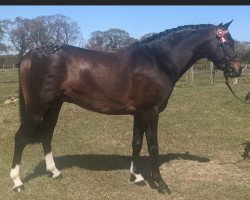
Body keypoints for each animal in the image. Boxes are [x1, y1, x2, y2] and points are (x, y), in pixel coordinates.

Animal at [10, 20, 242, 194]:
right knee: (21, 138)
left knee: (47, 135)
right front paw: (161, 184)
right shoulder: (150, 111)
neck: (156, 61)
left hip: (54, 106)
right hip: (36, 108)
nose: (237, 69)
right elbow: (153, 146)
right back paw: (17, 182)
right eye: (228, 42)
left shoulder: (139, 113)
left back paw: (54, 172)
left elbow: (136, 143)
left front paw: (137, 176)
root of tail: (30, 54)